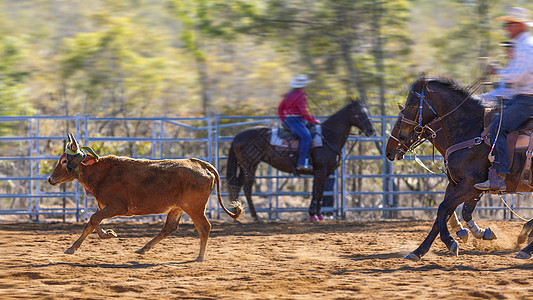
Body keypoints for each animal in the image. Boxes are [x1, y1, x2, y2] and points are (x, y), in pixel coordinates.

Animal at [47, 132, 243, 262]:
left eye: (64, 161)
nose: (50, 179)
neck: (102, 173)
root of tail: (200, 164)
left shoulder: (117, 207)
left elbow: (93, 221)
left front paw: (71, 248)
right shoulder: (103, 206)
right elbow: (94, 222)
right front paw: (109, 233)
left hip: (194, 208)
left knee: (204, 227)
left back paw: (200, 257)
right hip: (177, 208)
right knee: (169, 227)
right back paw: (143, 249)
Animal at [227, 100, 372, 220]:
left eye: (367, 112)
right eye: (359, 114)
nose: (371, 130)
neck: (327, 137)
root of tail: (237, 137)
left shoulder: (325, 173)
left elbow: (320, 193)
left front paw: (319, 215)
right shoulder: (320, 171)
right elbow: (316, 192)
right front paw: (312, 215)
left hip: (244, 167)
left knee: (236, 186)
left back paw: (236, 215)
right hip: (250, 166)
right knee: (247, 188)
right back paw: (255, 216)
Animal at [386, 76, 532, 262]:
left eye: (411, 105)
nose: (389, 152)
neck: (470, 131)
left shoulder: (470, 185)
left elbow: (446, 209)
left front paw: (452, 240)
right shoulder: (455, 184)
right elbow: (444, 214)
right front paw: (419, 251)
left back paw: (525, 246)